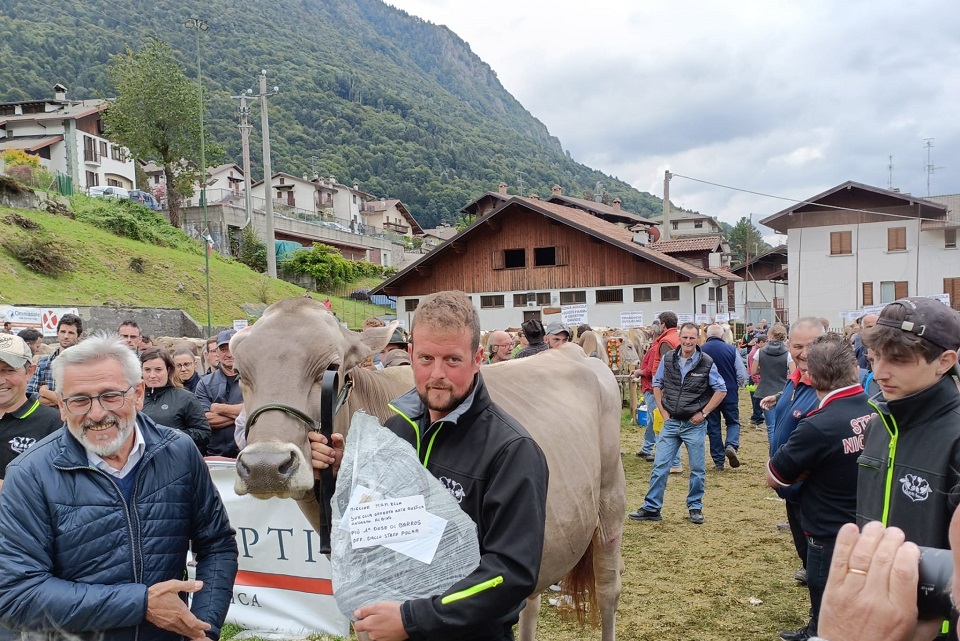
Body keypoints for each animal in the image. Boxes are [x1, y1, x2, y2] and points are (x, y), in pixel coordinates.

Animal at [232, 298, 624, 640]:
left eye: (332, 369)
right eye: (239, 373)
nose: (266, 465)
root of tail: (576, 353)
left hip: (610, 502)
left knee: (608, 589)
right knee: (530, 601)